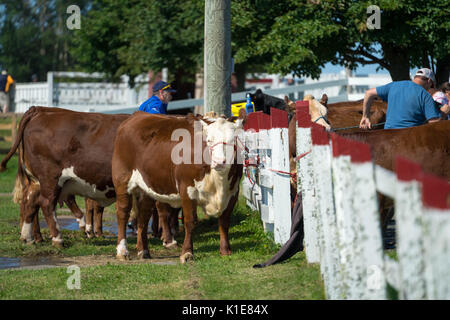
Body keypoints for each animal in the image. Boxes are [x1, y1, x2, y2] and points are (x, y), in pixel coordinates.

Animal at [111, 112, 243, 262]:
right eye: (209, 140)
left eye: (232, 140)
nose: (219, 162)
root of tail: (136, 115)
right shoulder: (187, 189)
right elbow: (190, 221)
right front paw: (187, 252)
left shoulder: (233, 192)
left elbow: (224, 221)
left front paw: (225, 250)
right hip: (122, 181)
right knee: (123, 213)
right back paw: (122, 251)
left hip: (146, 189)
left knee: (143, 216)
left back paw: (143, 250)